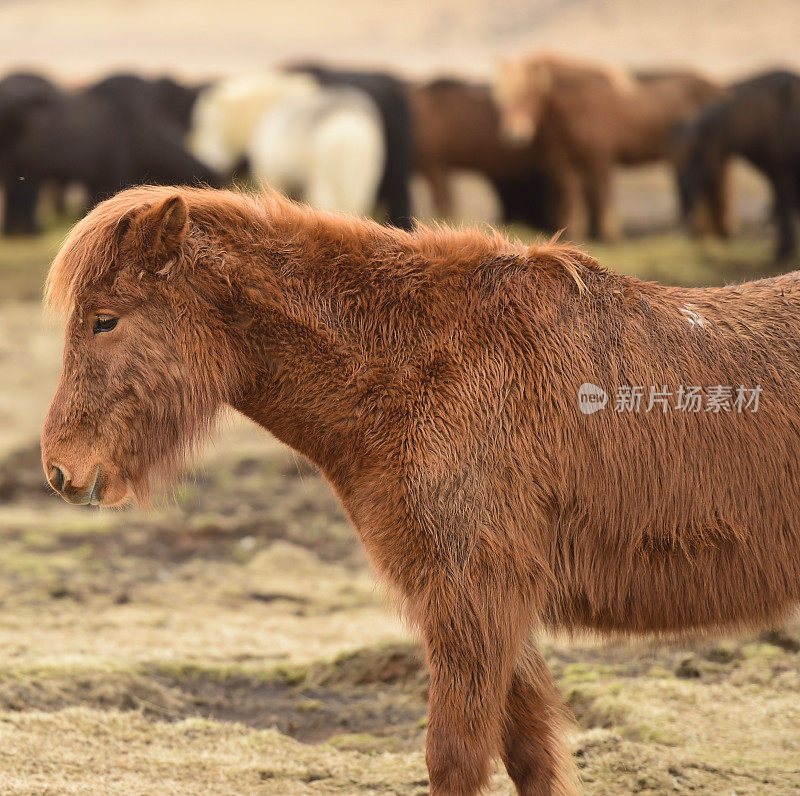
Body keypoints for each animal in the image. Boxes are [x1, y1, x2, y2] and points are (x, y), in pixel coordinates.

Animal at [40, 185, 800, 788]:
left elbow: (456, 758)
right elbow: (531, 756)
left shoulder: (471, 597)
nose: (60, 470)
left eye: (105, 319)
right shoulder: (487, 609)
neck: (422, 367)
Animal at [490, 54, 728, 239]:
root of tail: (717, 87)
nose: (514, 135)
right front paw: (573, 234)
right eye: (501, 99)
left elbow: (602, 195)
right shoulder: (567, 163)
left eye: (528, 94)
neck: (578, 103)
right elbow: (572, 198)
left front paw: (608, 235)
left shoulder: (600, 161)